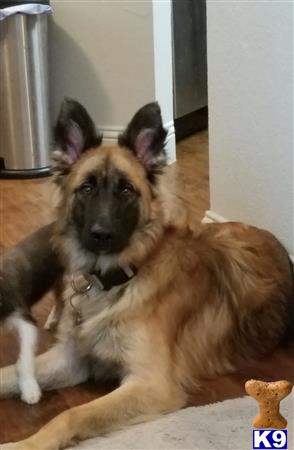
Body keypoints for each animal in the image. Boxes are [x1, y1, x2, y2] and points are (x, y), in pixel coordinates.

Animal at [1, 100, 292, 448]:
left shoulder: (150, 385)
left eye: (126, 190)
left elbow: (72, 414)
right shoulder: (72, 358)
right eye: (87, 188)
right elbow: (9, 371)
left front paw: (26, 443)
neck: (116, 282)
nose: (101, 235)